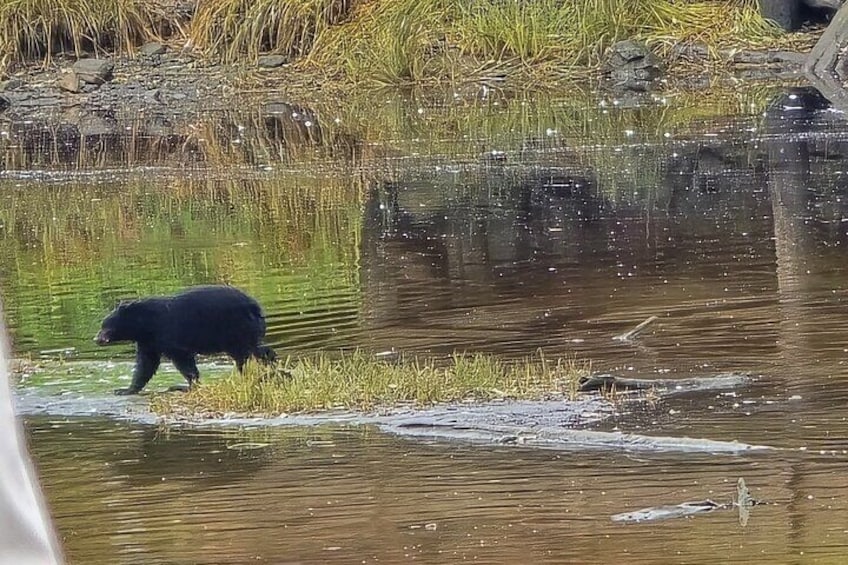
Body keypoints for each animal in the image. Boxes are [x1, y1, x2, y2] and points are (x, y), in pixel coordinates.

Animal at [95, 284, 274, 394]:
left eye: (105, 325)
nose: (96, 339)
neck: (144, 324)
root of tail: (256, 307)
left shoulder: (167, 333)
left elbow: (182, 359)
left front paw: (188, 384)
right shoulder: (148, 341)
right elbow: (146, 365)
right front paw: (126, 389)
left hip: (235, 329)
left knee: (245, 353)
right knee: (253, 350)